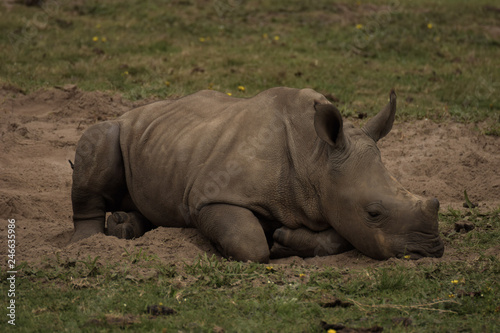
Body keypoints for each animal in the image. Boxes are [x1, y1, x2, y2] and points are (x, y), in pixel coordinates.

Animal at [70, 87, 446, 262]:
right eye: (373, 213)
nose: (431, 250)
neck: (316, 159)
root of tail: (132, 112)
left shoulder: (331, 199)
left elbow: (338, 237)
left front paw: (283, 241)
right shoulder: (209, 197)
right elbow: (249, 244)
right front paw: (259, 246)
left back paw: (124, 226)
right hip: (119, 127)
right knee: (98, 140)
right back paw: (88, 243)